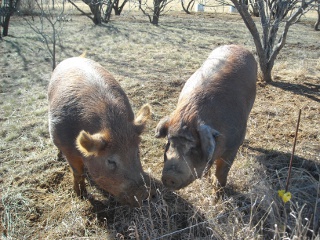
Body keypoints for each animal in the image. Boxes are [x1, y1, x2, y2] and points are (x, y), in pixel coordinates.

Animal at [48, 56, 154, 206]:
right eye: (110, 161)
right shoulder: (66, 145)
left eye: (137, 152)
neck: (114, 127)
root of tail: (73, 58)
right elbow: (77, 172)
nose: (144, 195)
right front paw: (80, 196)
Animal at [155, 44, 258, 191]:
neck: (189, 114)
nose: (169, 176)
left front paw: (218, 189)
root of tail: (236, 45)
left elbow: (222, 171)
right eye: (170, 142)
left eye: (193, 147)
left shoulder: (233, 145)